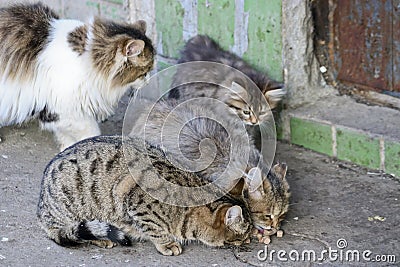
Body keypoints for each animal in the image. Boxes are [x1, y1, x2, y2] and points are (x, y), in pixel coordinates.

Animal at [0, 2, 155, 151]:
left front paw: (66, 148)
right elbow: (90, 130)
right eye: (145, 72)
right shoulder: (60, 107)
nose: (148, 82)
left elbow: (64, 134)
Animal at [36, 137, 252, 256]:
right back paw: (100, 239)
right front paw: (167, 244)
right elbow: (154, 229)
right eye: (246, 233)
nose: (250, 240)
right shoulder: (136, 203)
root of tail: (41, 208)